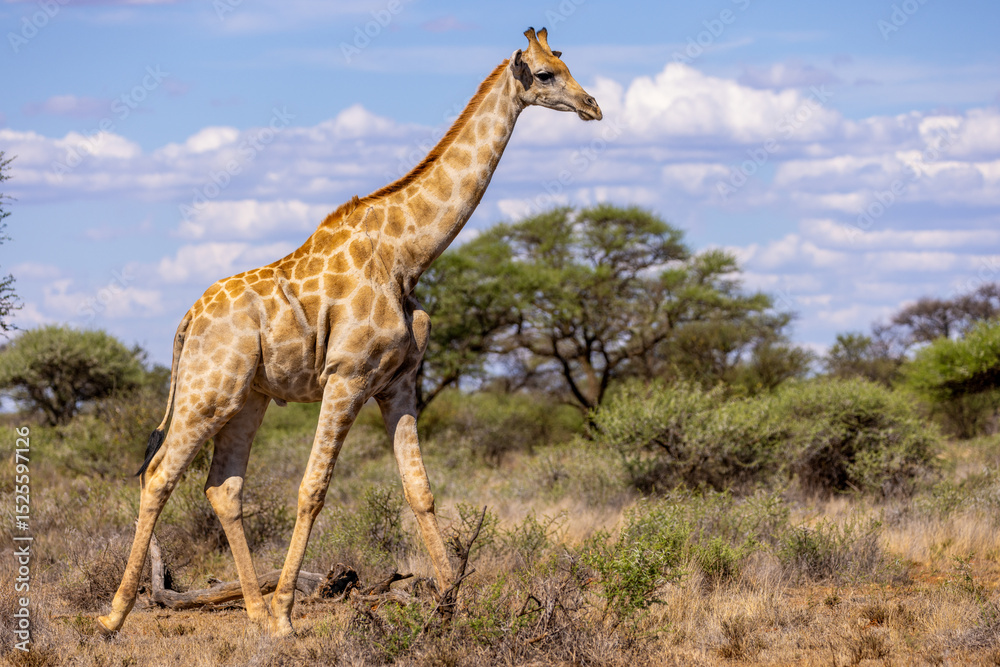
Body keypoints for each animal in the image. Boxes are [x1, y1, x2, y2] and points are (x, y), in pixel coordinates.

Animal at [97, 27, 601, 637]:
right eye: (546, 74)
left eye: (566, 62)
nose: (593, 106)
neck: (409, 254)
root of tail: (186, 320)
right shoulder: (346, 376)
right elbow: (312, 489)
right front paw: (289, 615)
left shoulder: (398, 382)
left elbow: (420, 489)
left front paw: (450, 605)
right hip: (206, 391)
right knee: (158, 476)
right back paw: (116, 615)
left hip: (247, 397)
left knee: (223, 487)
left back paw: (254, 612)